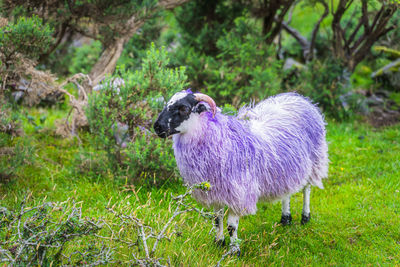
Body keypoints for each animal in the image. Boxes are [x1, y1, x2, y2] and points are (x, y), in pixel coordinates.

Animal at [153, 90, 328, 251]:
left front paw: (234, 251)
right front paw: (219, 243)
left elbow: (231, 226)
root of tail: (299, 98)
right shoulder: (217, 192)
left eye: (184, 108)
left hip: (315, 161)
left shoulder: (239, 193)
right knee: (287, 191)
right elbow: (217, 220)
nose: (157, 127)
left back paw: (305, 217)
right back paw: (285, 219)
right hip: (287, 169)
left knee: (307, 189)